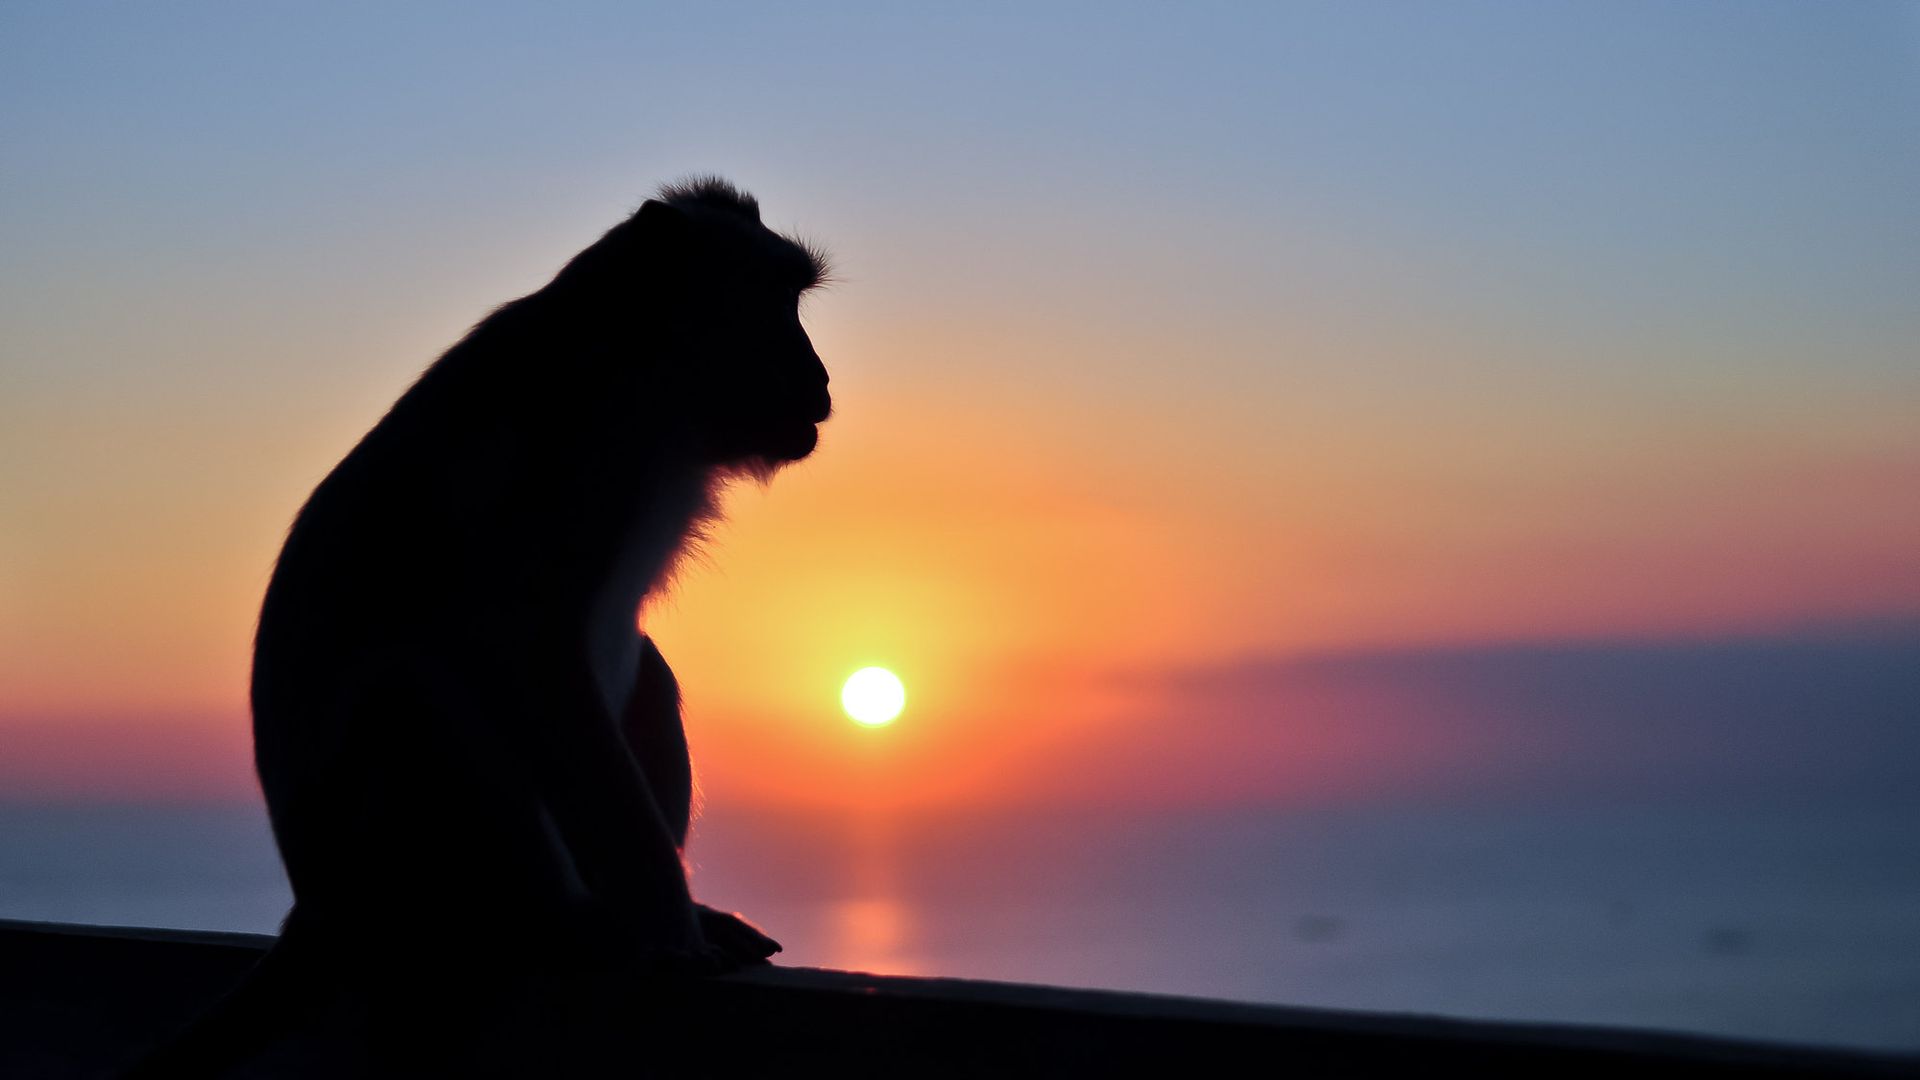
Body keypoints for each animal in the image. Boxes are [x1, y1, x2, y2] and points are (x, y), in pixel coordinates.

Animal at [123, 177, 831, 1076]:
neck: (637, 373)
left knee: (644, 672)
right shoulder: (575, 454)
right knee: (419, 690)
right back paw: (565, 922)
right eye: (775, 305)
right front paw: (669, 933)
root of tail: (316, 911)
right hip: (387, 862)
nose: (820, 375)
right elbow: (532, 654)